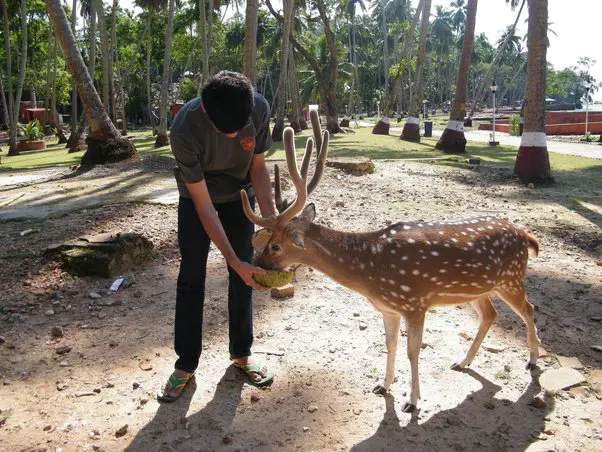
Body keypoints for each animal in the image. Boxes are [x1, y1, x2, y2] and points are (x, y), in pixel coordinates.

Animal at [239, 109, 540, 414]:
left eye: (275, 245)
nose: (257, 264)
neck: (372, 271)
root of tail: (524, 234)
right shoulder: (389, 308)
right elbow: (390, 345)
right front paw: (383, 386)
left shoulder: (415, 303)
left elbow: (412, 351)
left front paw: (413, 401)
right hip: (479, 288)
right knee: (490, 314)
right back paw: (462, 362)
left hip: (512, 278)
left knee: (528, 308)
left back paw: (532, 362)